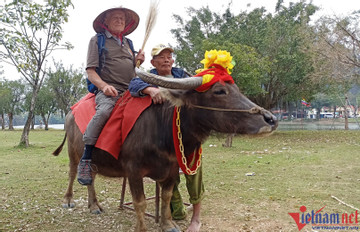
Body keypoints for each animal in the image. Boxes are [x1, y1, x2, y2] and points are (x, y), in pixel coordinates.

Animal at [52, 68, 278, 231]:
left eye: (237, 89)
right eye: (219, 91)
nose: (271, 119)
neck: (162, 128)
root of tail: (70, 113)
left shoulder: (171, 169)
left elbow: (167, 196)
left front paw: (168, 224)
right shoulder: (133, 170)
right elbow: (140, 202)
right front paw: (141, 228)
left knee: (91, 177)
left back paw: (94, 205)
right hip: (74, 152)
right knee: (73, 172)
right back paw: (68, 200)